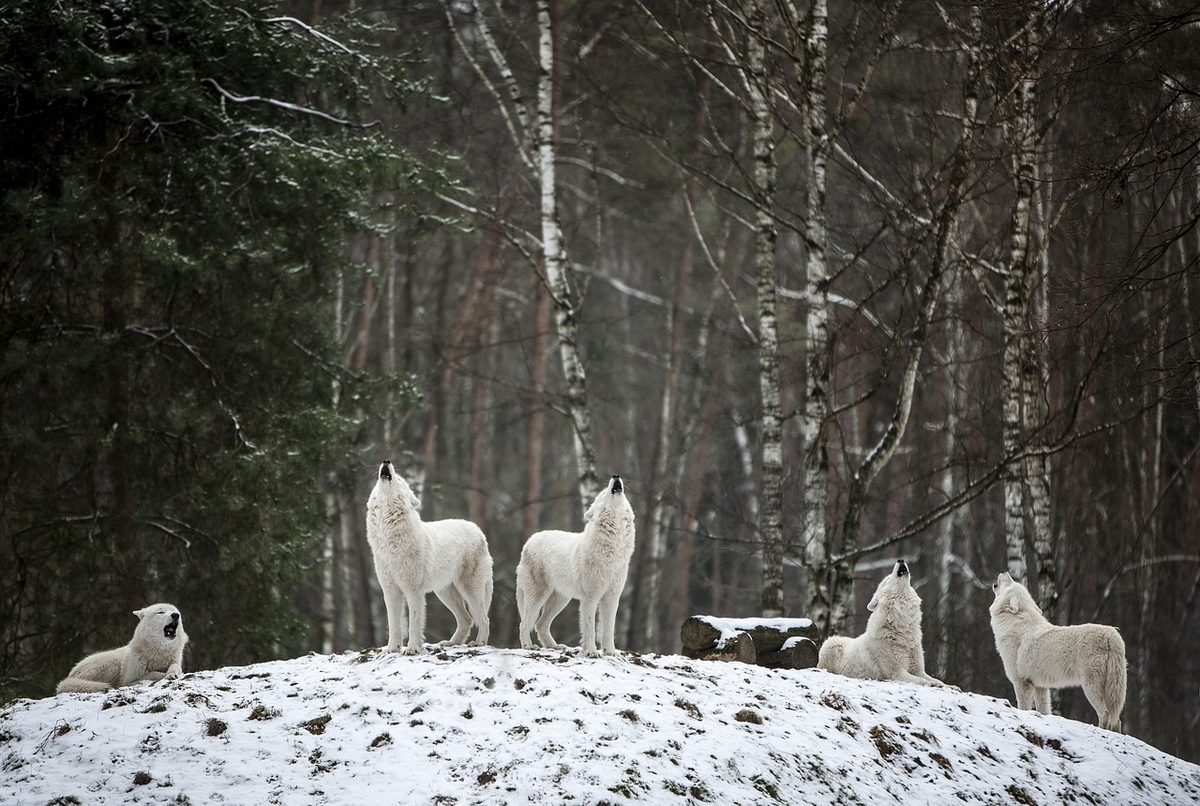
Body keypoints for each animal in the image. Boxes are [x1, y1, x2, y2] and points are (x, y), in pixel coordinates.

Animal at [56, 604, 188, 694]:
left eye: (175, 612)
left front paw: (171, 673)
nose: (176, 615)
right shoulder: (128, 680)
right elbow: (152, 673)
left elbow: (175, 667)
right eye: (160, 612)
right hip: (111, 664)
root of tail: (69, 676)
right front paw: (163, 674)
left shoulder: (175, 661)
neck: (159, 652)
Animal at [365, 460, 493, 654]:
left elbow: (414, 622)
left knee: (483, 619)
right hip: (445, 593)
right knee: (466, 619)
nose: (386, 461)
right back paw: (451, 643)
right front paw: (392, 649)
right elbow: (394, 624)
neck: (389, 540)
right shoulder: (390, 590)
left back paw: (478, 643)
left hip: (469, 590)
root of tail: (478, 530)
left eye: (400, 480)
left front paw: (412, 648)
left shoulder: (413, 591)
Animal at [516, 475, 636, 657]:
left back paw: (555, 646)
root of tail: (529, 541)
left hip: (561, 600)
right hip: (538, 596)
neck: (613, 549)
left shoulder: (612, 597)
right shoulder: (590, 598)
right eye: (602, 493)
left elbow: (608, 630)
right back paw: (528, 647)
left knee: (540, 624)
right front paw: (591, 652)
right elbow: (590, 628)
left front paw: (610, 652)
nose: (616, 476)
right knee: (524, 623)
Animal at [817, 560, 950, 687]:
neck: (902, 628)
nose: (900, 560)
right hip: (831, 643)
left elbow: (937, 680)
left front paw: (949, 686)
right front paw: (932, 684)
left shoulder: (918, 670)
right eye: (887, 579)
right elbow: (921, 680)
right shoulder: (897, 673)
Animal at [990, 572, 1126, 731]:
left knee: (1105, 714)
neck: (1015, 623)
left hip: (1090, 686)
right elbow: (1043, 710)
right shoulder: (1040, 686)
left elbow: (1022, 707)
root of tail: (1111, 635)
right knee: (1117, 719)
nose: (1005, 572)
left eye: (1010, 583)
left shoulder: (1020, 682)